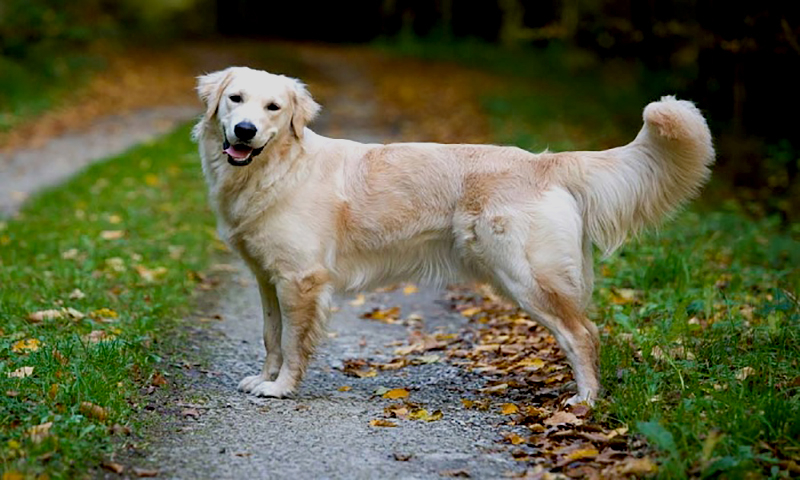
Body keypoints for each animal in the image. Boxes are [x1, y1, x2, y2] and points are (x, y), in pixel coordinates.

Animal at [192, 67, 712, 404]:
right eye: (236, 99)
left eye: (274, 108)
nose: (245, 131)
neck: (277, 168)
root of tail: (544, 161)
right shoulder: (268, 279)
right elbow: (271, 336)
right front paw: (263, 378)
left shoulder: (301, 280)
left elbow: (295, 343)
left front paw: (281, 388)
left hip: (527, 277)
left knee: (583, 334)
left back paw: (584, 402)